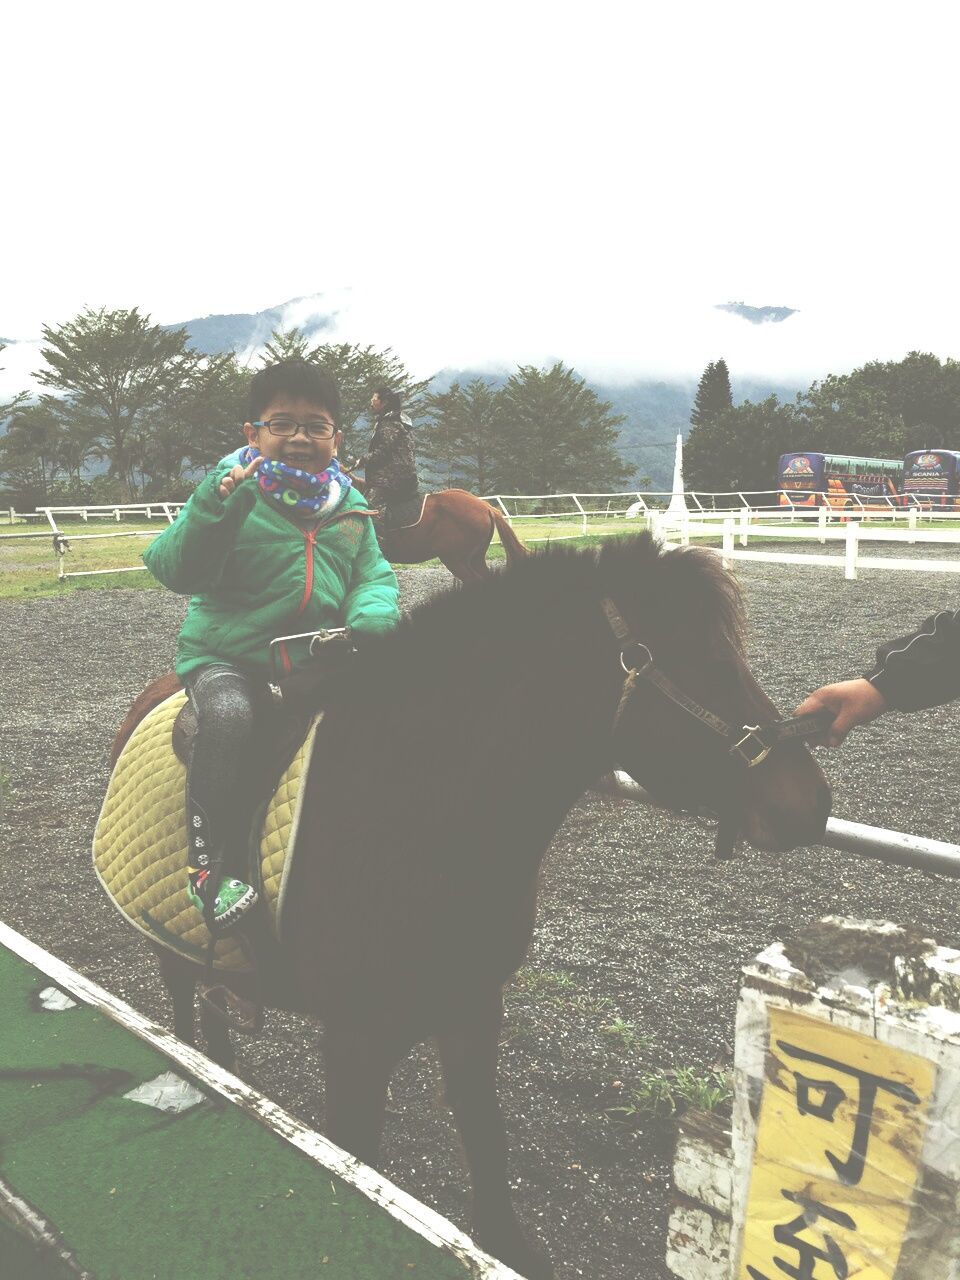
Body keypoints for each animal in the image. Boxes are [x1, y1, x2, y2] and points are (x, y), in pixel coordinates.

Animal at [106, 535, 834, 1274]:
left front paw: (504, 1242)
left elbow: (486, 1136)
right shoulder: (354, 1041)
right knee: (182, 1006)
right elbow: (356, 1162)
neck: (416, 810)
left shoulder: (473, 1005)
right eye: (697, 659)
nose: (811, 801)